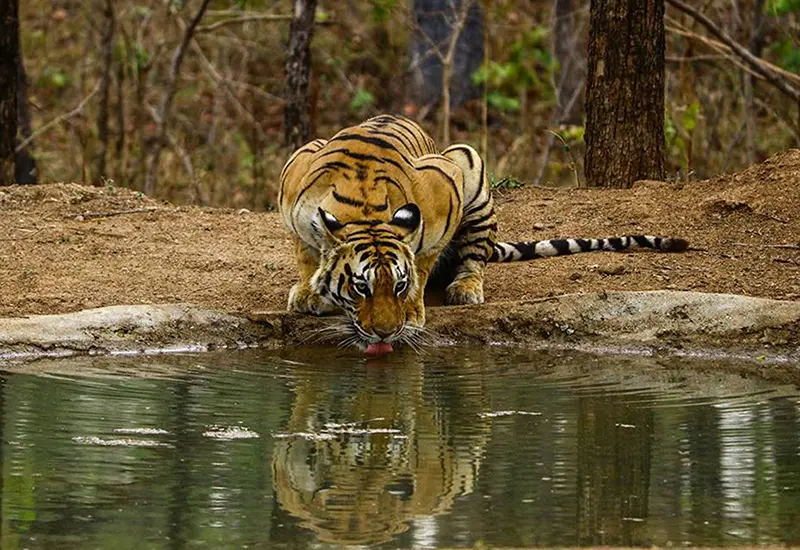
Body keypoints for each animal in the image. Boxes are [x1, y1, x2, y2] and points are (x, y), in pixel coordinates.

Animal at [279, 114, 688, 355]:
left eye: (398, 285)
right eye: (361, 287)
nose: (385, 334)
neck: (364, 212)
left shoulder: (445, 187)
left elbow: (422, 261)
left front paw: (411, 313)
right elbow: (304, 252)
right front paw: (308, 292)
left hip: (467, 160)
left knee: (474, 258)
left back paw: (464, 289)